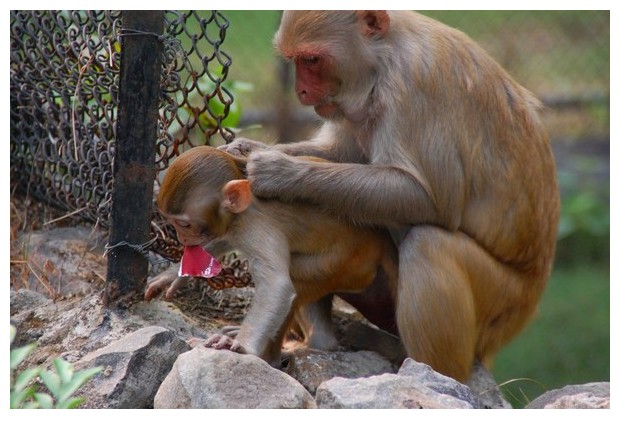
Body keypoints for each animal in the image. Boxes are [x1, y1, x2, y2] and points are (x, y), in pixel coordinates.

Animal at [145, 145, 398, 364]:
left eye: (184, 224)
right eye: (172, 223)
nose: (182, 239)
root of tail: (378, 239)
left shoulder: (256, 226)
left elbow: (278, 285)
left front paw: (242, 347)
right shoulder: (233, 227)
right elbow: (222, 240)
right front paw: (173, 276)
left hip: (348, 263)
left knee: (296, 277)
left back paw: (268, 357)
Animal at [224, 10, 560, 380]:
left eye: (312, 60)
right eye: (295, 60)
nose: (301, 90)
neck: (385, 58)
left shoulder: (416, 86)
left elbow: (430, 199)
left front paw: (279, 172)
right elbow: (342, 152)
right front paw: (246, 148)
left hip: (501, 305)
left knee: (428, 241)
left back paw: (426, 369)